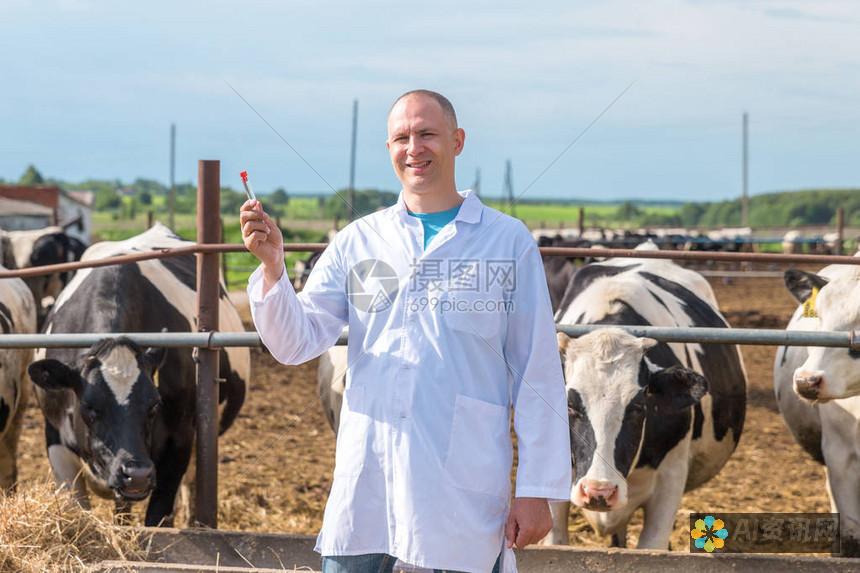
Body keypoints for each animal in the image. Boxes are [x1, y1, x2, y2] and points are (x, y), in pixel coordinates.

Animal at [27, 223, 249, 528]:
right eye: (89, 407)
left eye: (154, 405)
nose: (138, 474)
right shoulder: (56, 439)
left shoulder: (178, 441)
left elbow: (158, 517)